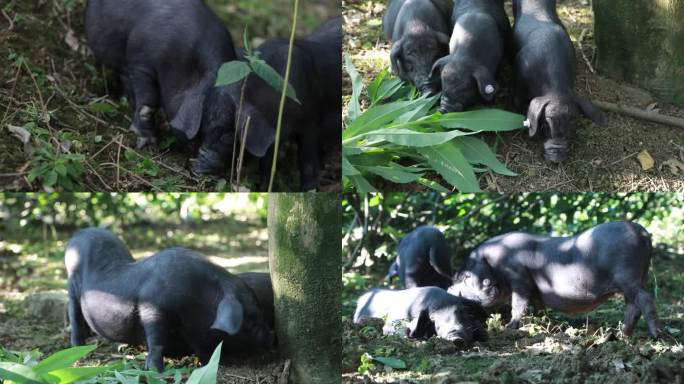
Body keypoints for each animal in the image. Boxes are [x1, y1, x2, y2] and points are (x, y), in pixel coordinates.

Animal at [65, 228, 274, 372]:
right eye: (250, 318)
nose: (272, 336)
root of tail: (78, 234)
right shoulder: (152, 307)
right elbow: (156, 339)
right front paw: (155, 370)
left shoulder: (190, 326)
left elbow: (199, 344)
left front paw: (210, 363)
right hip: (71, 283)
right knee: (74, 313)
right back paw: (79, 346)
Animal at [448, 220, 664, 338]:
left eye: (465, 277)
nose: (449, 290)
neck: (495, 262)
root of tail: (642, 231)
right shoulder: (535, 289)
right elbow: (537, 305)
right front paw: (542, 323)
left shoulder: (519, 278)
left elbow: (518, 303)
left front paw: (508, 327)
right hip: (638, 278)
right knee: (633, 307)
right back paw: (620, 335)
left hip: (629, 278)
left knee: (645, 300)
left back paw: (655, 336)